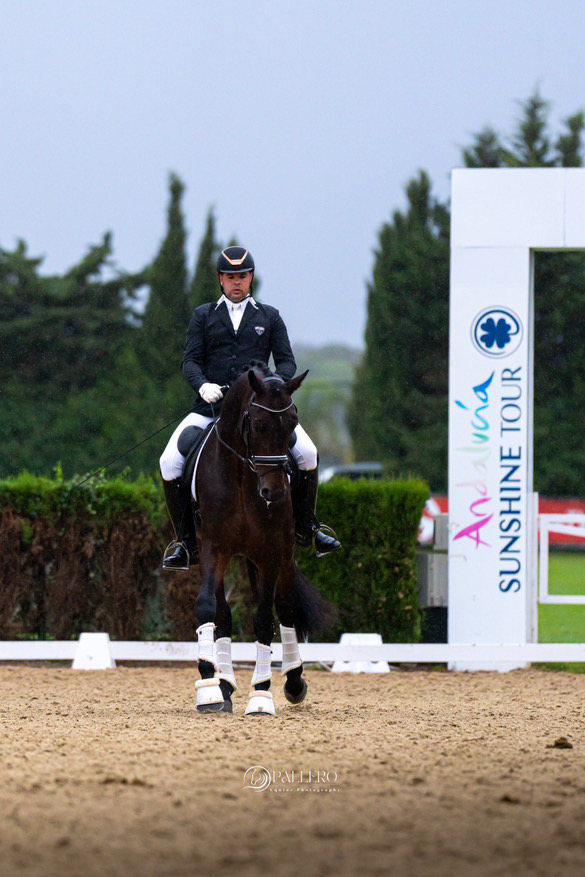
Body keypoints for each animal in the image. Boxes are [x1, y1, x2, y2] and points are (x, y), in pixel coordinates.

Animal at [190, 362, 330, 712]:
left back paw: (294, 681)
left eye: (293, 422)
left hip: (285, 553)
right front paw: (209, 687)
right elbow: (208, 608)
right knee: (224, 615)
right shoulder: (213, 547)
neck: (243, 477)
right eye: (258, 422)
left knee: (287, 608)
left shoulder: (270, 553)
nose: (275, 492)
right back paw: (225, 685)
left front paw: (261, 695)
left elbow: (265, 619)